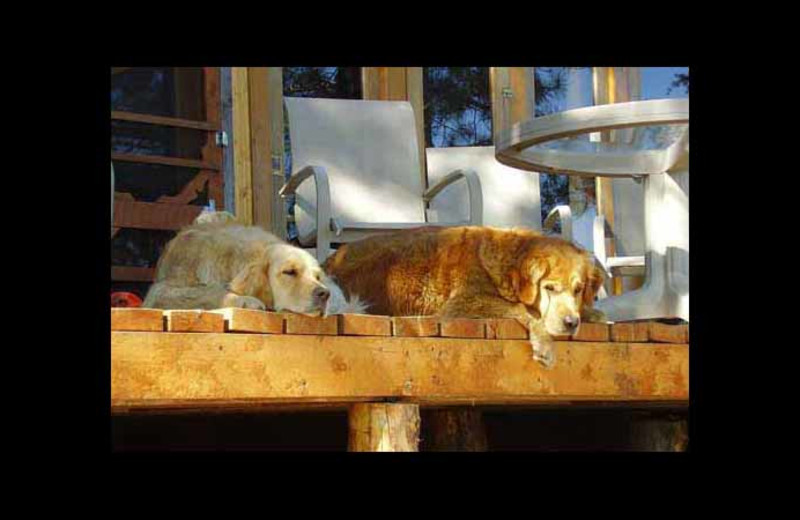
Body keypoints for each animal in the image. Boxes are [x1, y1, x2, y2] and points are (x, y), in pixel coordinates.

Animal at [144, 209, 366, 314]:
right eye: (289, 272)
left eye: (316, 276)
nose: (324, 294)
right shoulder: (160, 292)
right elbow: (209, 292)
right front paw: (245, 300)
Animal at [322, 225, 604, 368]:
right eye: (549, 288)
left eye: (578, 289)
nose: (571, 323)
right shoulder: (464, 302)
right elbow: (524, 310)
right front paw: (544, 343)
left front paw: (592, 313)